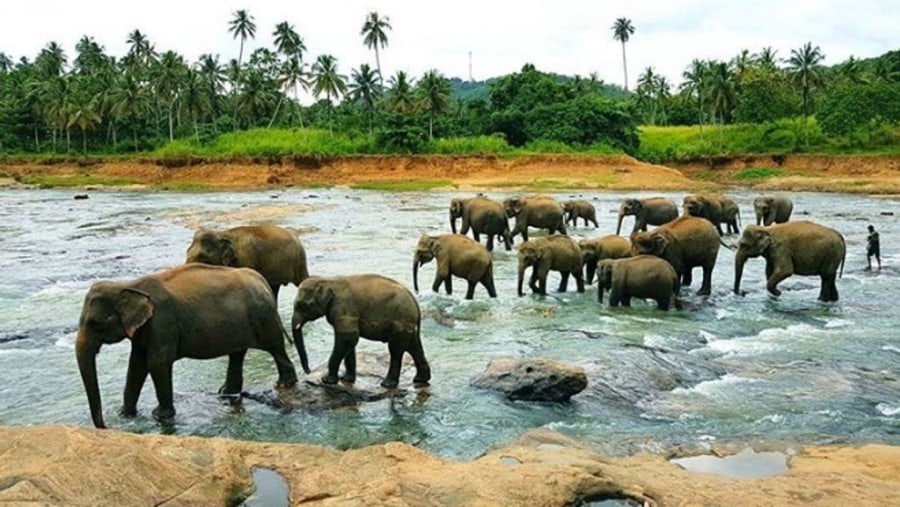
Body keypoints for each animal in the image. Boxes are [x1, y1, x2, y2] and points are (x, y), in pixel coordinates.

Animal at [74, 264, 298, 430]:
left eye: (96, 323)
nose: (106, 426)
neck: (129, 285)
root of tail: (261, 279)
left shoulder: (162, 322)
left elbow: (157, 363)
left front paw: (161, 416)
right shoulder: (143, 329)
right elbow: (136, 364)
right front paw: (126, 414)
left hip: (263, 317)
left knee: (276, 347)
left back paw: (285, 384)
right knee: (237, 354)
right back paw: (226, 393)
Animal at [288, 274, 428, 388]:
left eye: (301, 305)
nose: (308, 371)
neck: (328, 280)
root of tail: (415, 303)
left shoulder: (343, 308)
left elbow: (348, 339)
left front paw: (326, 381)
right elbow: (350, 341)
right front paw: (346, 379)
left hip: (400, 320)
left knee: (395, 350)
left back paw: (387, 384)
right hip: (406, 324)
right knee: (413, 346)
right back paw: (420, 380)